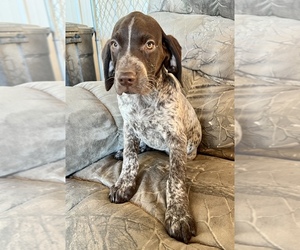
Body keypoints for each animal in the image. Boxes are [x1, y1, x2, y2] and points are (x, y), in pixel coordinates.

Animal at [101, 11, 202, 244]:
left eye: (149, 44)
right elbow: (130, 159)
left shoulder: (176, 138)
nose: (124, 78)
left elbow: (175, 178)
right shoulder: (129, 127)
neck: (143, 100)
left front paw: (178, 214)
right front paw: (124, 183)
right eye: (114, 44)